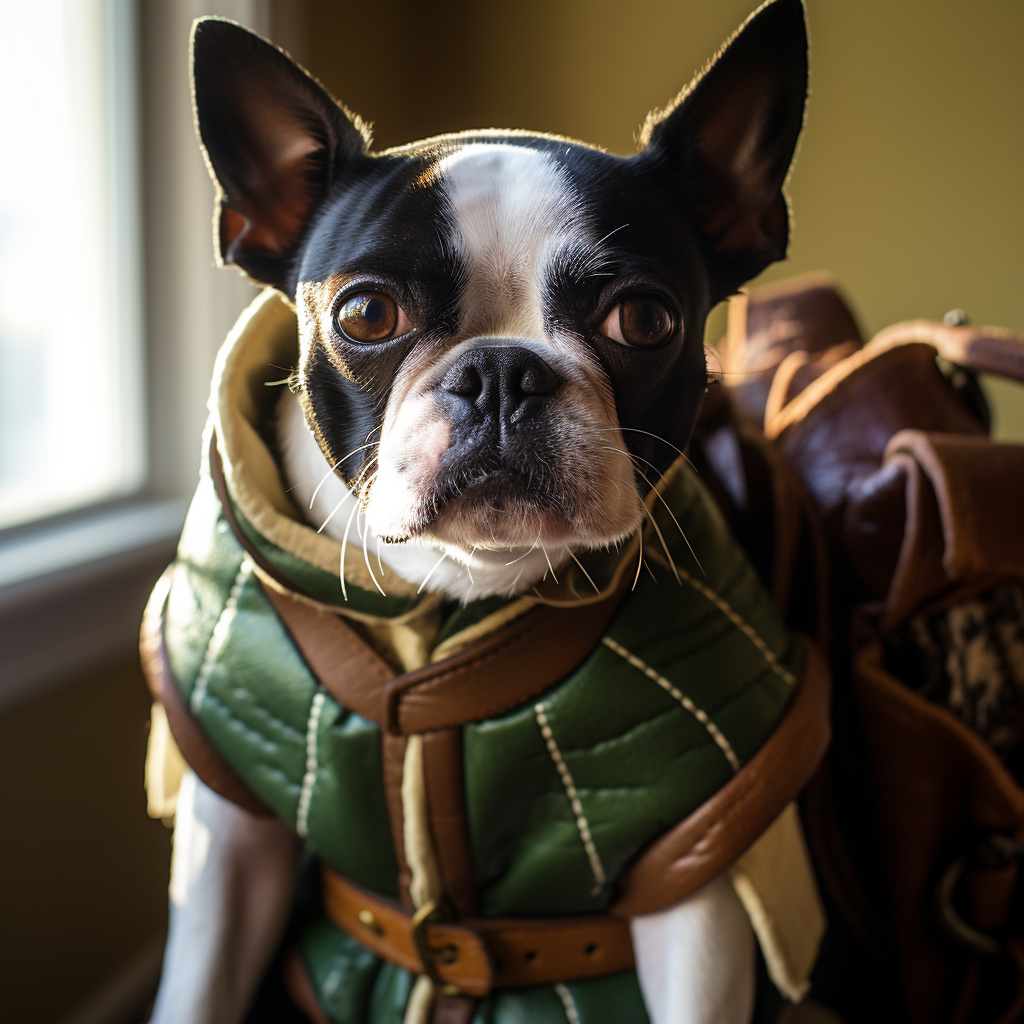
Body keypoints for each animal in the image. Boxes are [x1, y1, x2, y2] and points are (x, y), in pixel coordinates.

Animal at [149, 4, 806, 1019]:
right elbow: (197, 986)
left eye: (645, 321)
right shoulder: (229, 840)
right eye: (365, 315)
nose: (503, 372)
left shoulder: (694, 863)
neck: (451, 596)